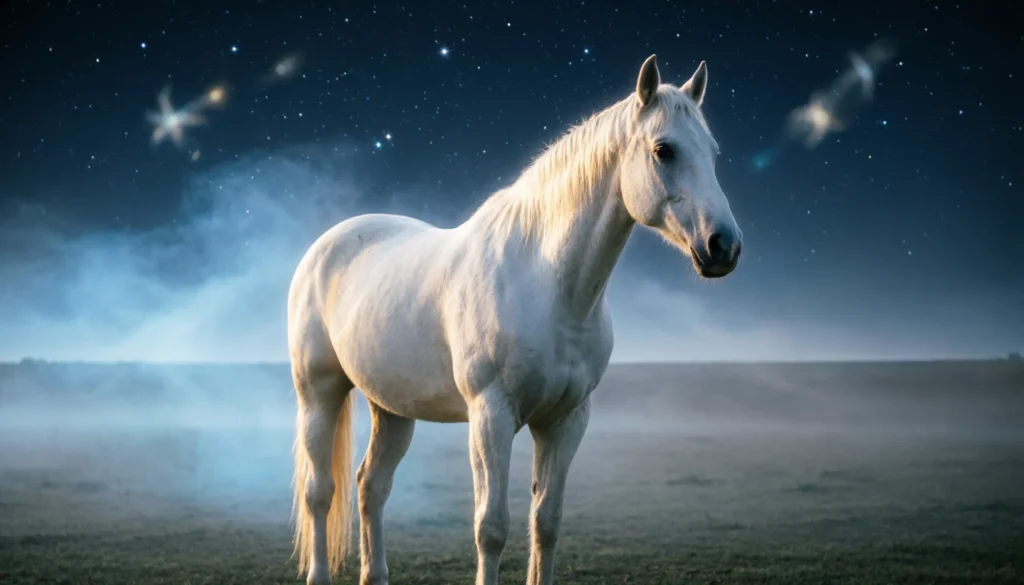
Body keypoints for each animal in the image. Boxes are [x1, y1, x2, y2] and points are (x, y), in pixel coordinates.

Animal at [287, 54, 743, 585]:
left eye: (713, 153)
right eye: (663, 150)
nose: (723, 246)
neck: (548, 285)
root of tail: (329, 242)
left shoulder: (567, 421)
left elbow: (546, 521)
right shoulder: (492, 415)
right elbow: (492, 527)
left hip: (392, 406)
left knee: (370, 485)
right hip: (319, 393)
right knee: (320, 491)